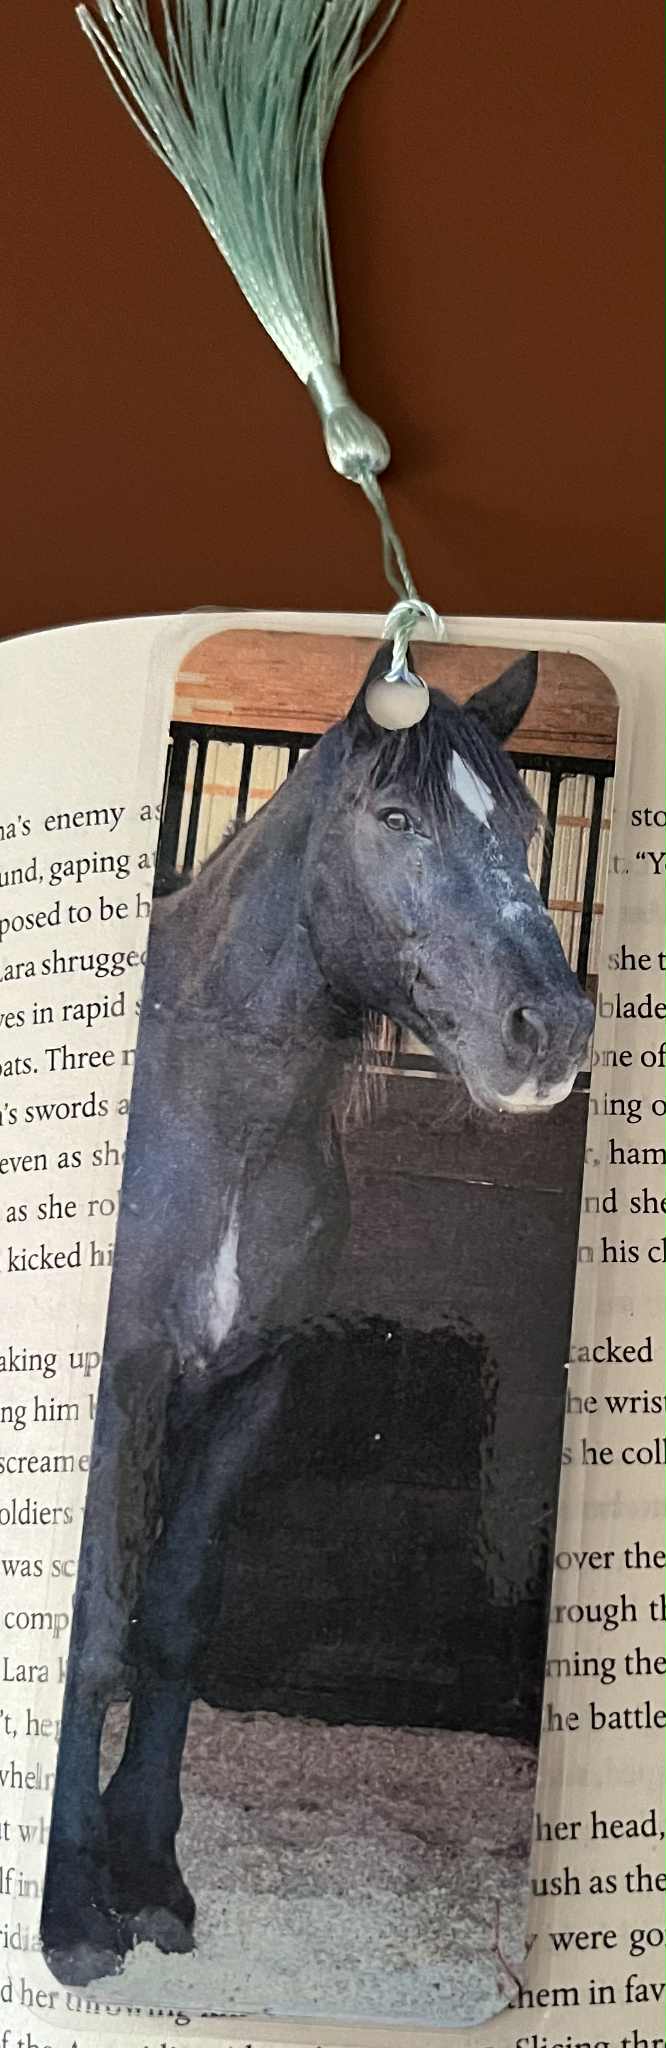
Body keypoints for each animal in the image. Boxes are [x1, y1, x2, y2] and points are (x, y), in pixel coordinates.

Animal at [41, 646, 593, 1986]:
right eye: (395, 817)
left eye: (529, 823)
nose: (550, 1030)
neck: (215, 1119)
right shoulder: (121, 1384)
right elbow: (97, 1621)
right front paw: (71, 1909)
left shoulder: (249, 1382)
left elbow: (177, 1617)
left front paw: (150, 1877)